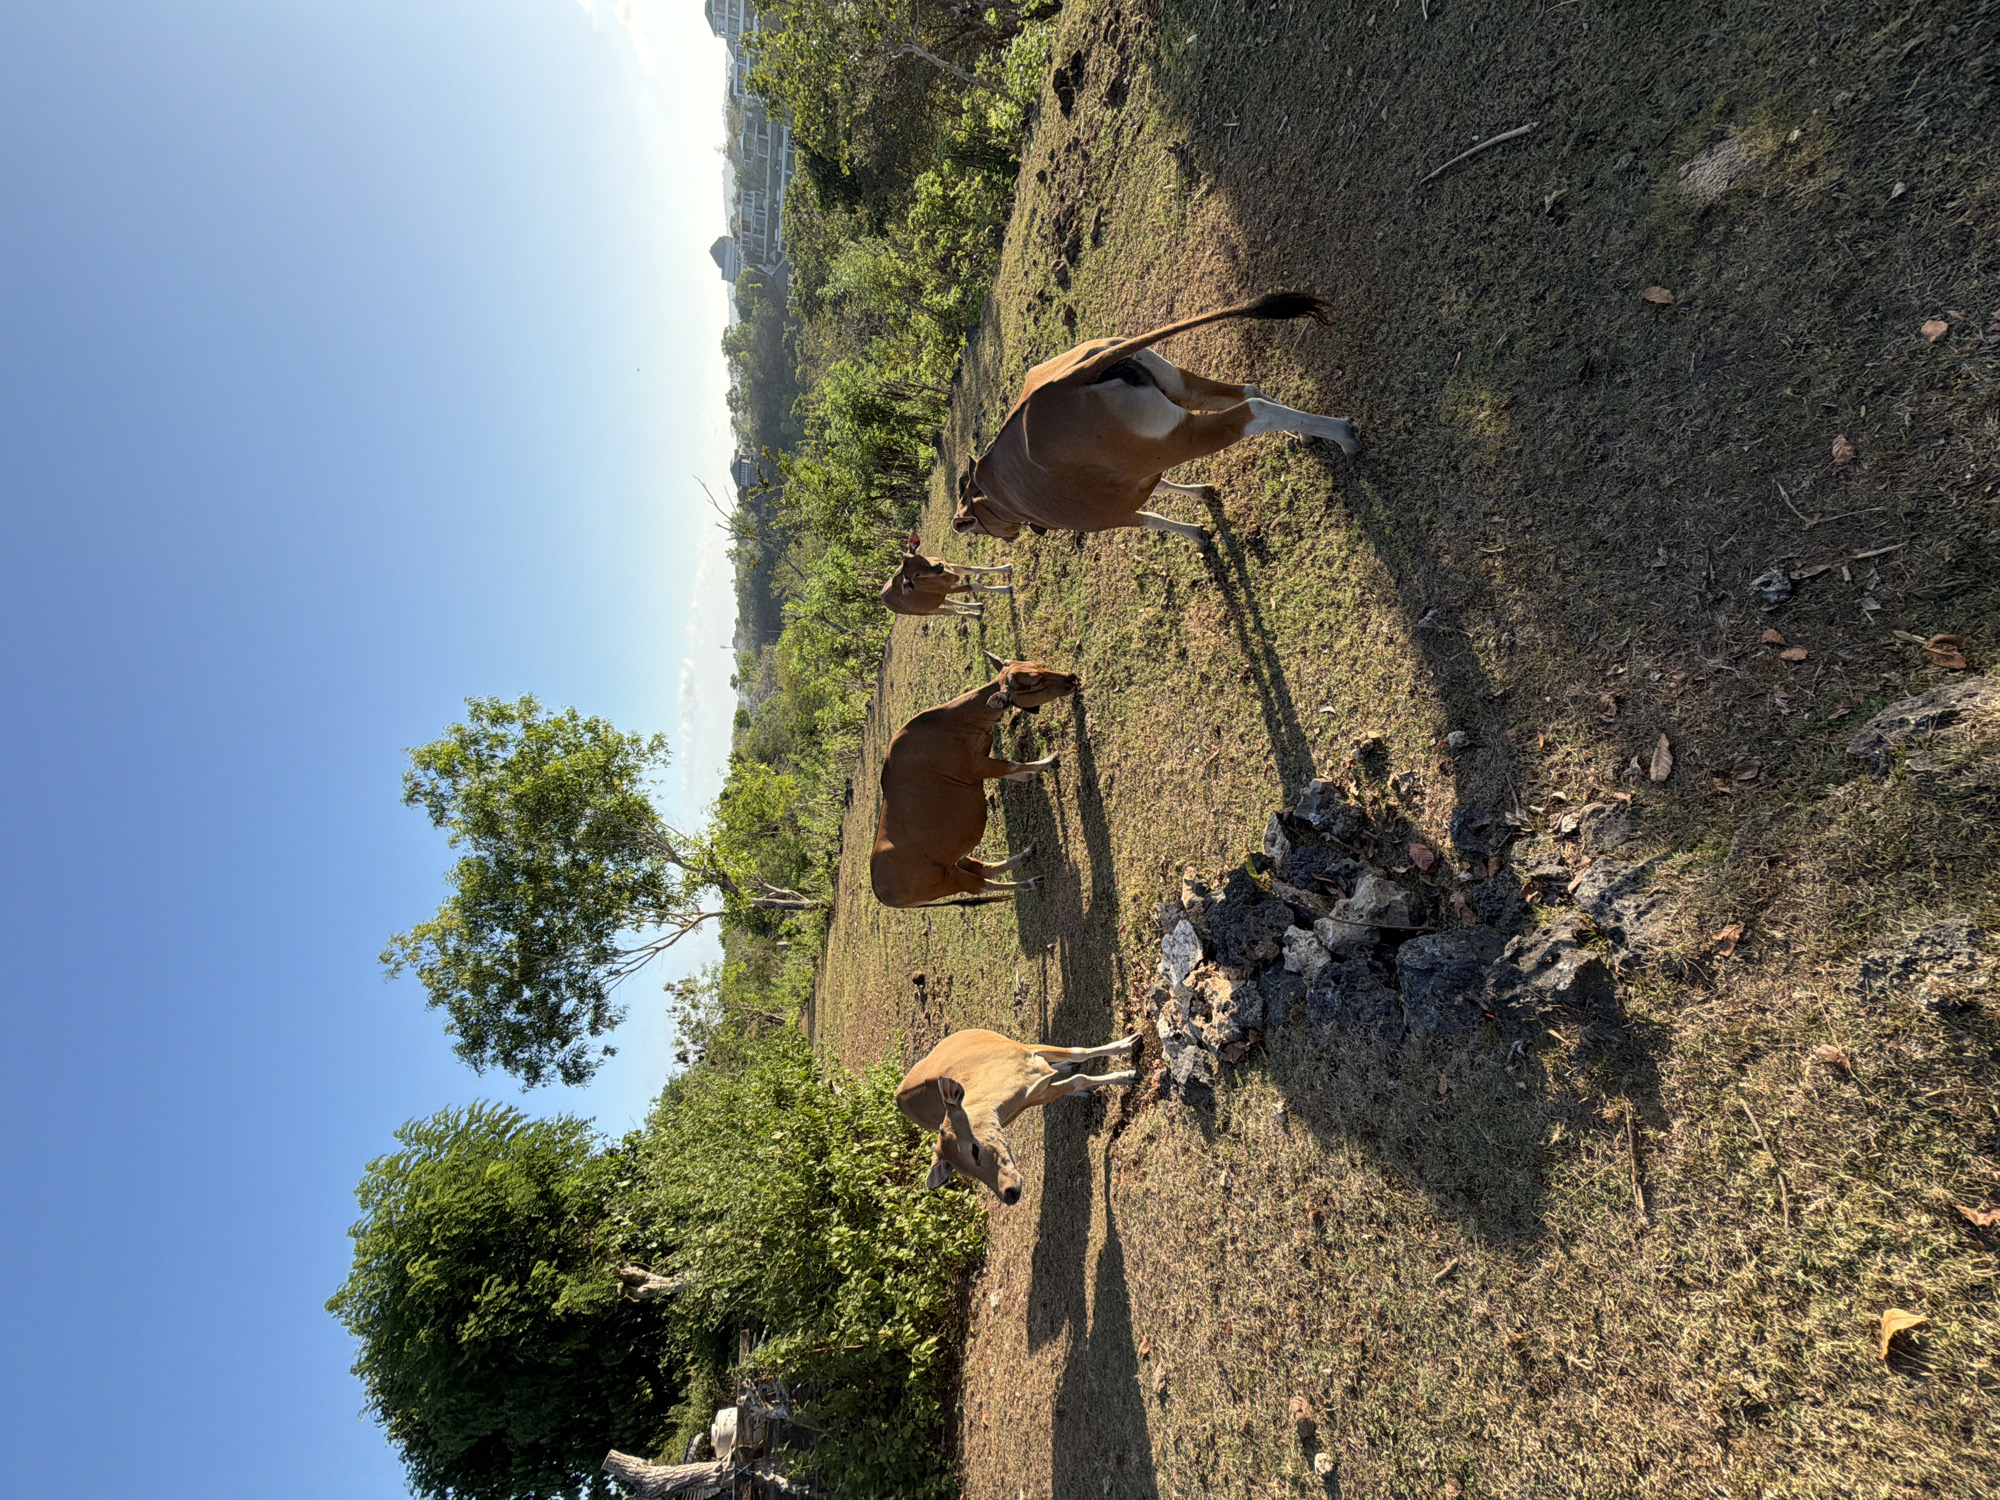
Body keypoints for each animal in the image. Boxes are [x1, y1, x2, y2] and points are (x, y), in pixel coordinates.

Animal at [869, 651, 1078, 908]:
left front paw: (1030, 773)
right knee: (981, 885)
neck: (952, 724)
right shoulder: (977, 766)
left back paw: (1024, 856)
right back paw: (1029, 883)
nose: (1071, 677)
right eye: (1035, 682)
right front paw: (1047, 762)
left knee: (983, 869)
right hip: (949, 880)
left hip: (955, 860)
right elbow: (1010, 765)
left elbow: (1010, 770)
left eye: (1038, 666)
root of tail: (883, 894)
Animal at [879, 548, 1014, 618]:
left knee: (947, 601)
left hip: (934, 600)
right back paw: (974, 615)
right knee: (947, 611)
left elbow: (976, 569)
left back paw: (977, 606)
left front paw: (1006, 568)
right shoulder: (948, 589)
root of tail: (883, 597)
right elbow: (975, 586)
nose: (938, 567)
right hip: (925, 612)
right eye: (916, 574)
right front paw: (1006, 589)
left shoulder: (952, 567)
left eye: (919, 557)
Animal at [896, 1028, 1141, 1205]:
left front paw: (1129, 1048)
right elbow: (1078, 1079)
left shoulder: (1030, 1051)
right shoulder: (1035, 1096)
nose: (1009, 1194)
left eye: (974, 1149)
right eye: (963, 1171)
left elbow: (1079, 1053)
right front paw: (1127, 1074)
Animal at [952, 291, 1360, 546]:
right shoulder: (1137, 471)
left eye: (976, 527)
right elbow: (1162, 486)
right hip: (1182, 394)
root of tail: (1069, 379)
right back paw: (1305, 436)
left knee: (1255, 412)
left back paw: (1344, 435)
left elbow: (1152, 518)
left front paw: (1197, 533)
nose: (1009, 537)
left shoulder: (1110, 516)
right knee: (1250, 390)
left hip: (1185, 438)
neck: (998, 491)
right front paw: (1201, 493)